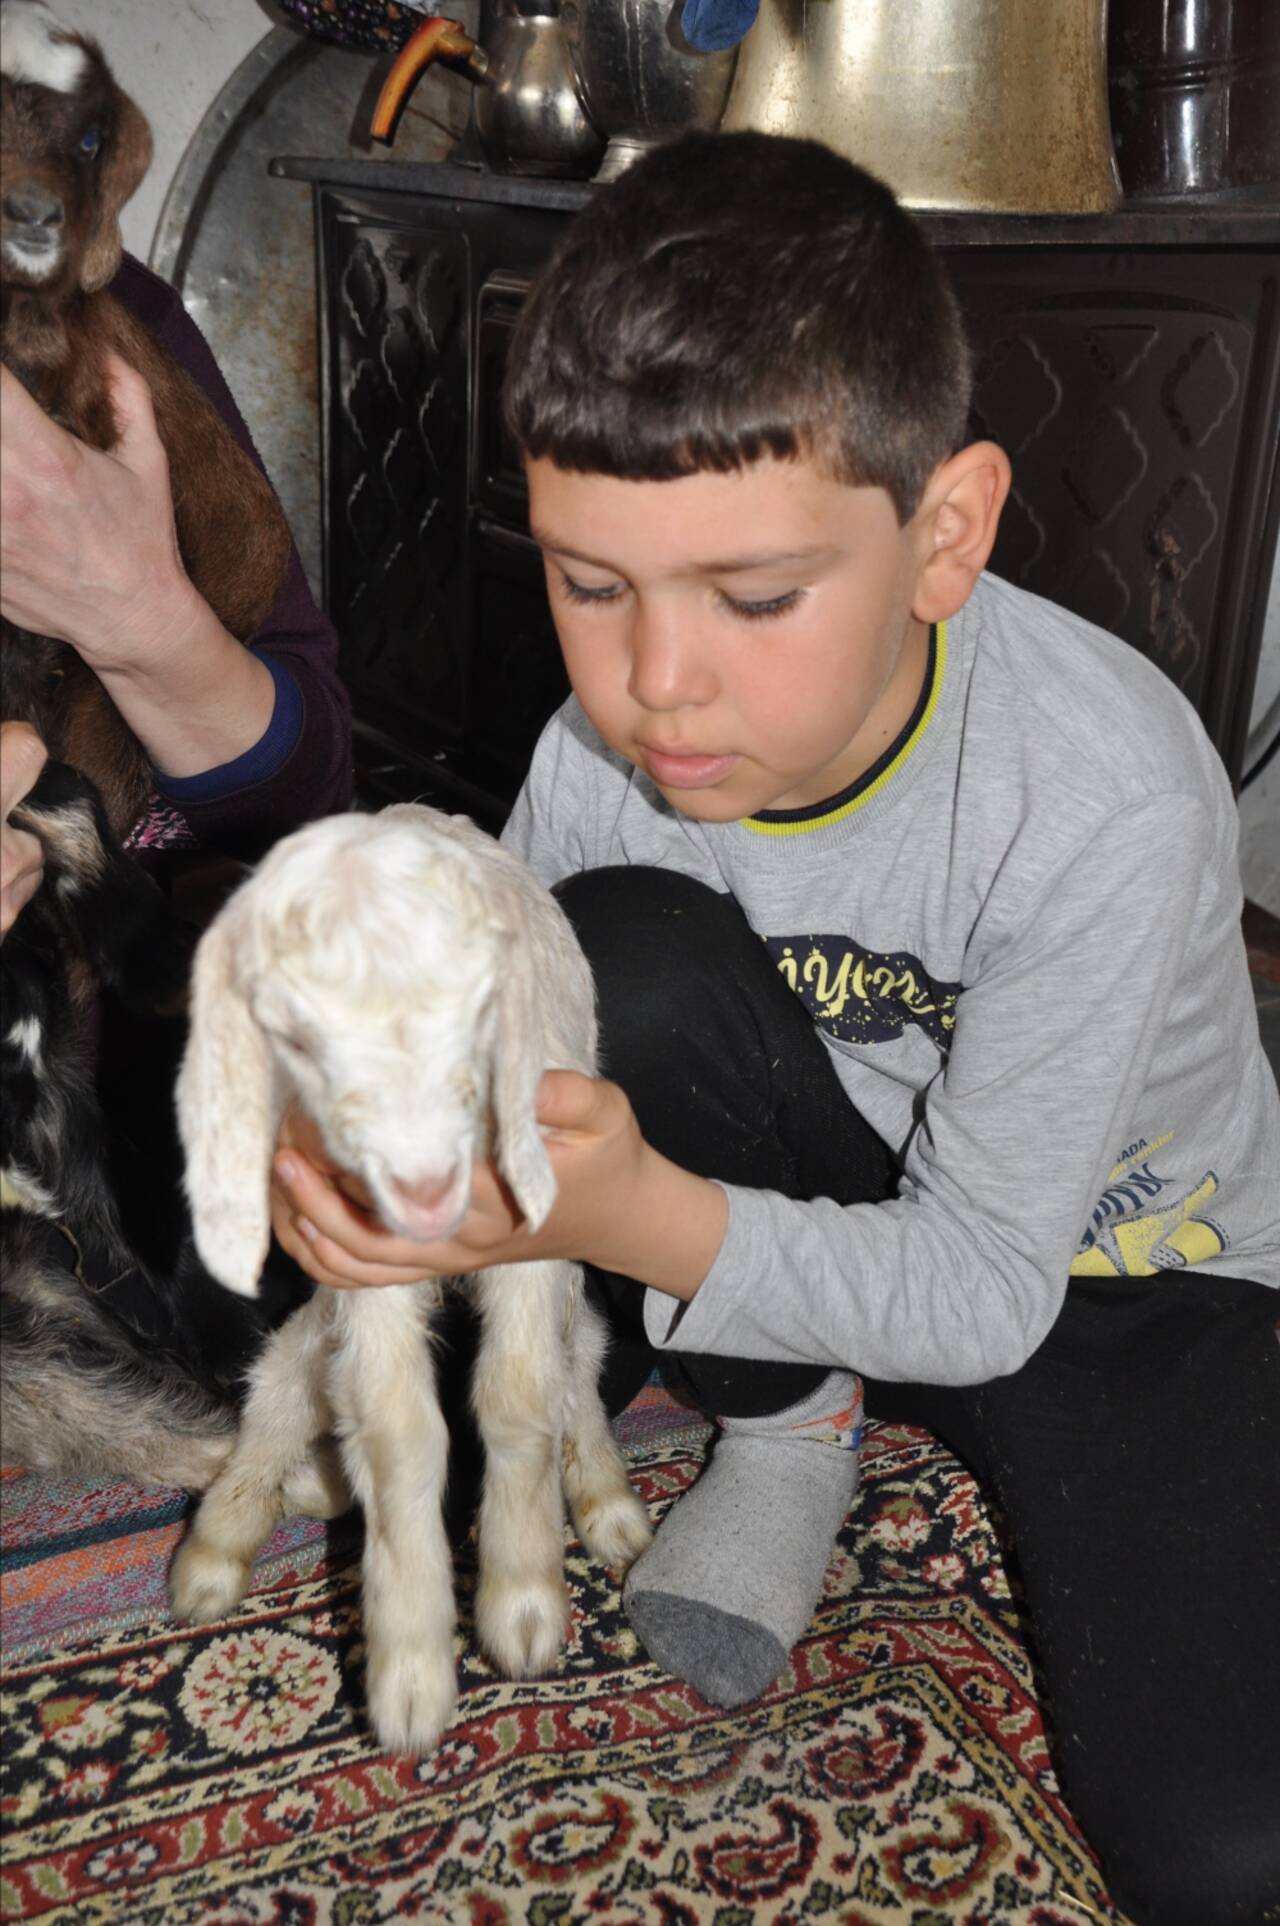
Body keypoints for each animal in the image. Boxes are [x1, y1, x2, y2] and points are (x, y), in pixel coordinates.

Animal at [169, 805, 650, 1756]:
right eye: (300, 1041)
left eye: (469, 1015)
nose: (421, 1186)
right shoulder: (363, 1267)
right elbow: (399, 1435)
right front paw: (411, 1680)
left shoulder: (540, 1235)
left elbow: (518, 1399)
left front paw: (523, 1614)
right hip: (303, 1343)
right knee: (273, 1420)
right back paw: (211, 1561)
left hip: (576, 1310)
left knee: (577, 1378)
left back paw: (612, 1509)